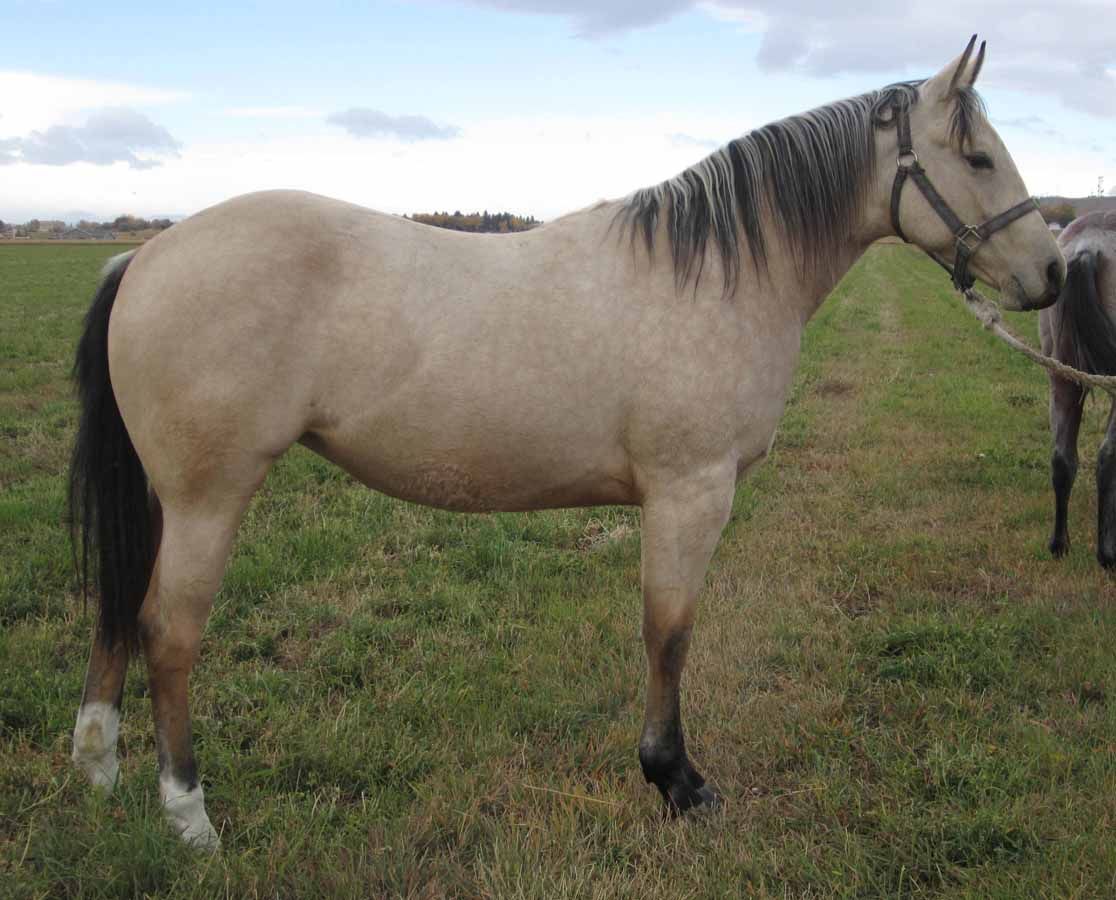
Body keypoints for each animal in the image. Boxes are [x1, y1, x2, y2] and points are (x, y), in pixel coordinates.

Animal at [68, 37, 1064, 849]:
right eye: (977, 155)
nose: (1050, 275)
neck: (720, 272)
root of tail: (144, 257)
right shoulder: (690, 493)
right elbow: (670, 633)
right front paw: (676, 782)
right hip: (209, 497)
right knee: (169, 635)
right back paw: (188, 816)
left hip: (163, 498)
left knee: (121, 611)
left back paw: (100, 772)